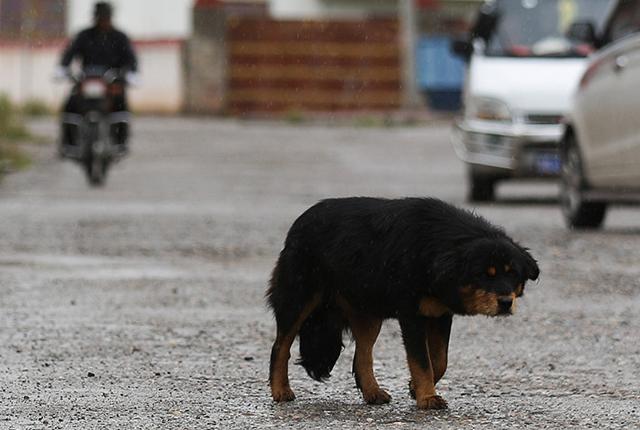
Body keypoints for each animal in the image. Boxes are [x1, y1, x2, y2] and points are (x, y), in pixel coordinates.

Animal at [268, 197, 536, 408]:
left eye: (513, 274)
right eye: (484, 275)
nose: (505, 302)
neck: (435, 251)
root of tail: (299, 222)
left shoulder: (440, 314)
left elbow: (439, 361)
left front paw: (415, 389)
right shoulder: (411, 316)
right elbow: (421, 360)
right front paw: (427, 397)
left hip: (368, 312)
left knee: (362, 355)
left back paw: (372, 392)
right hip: (299, 299)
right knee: (280, 346)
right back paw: (280, 390)